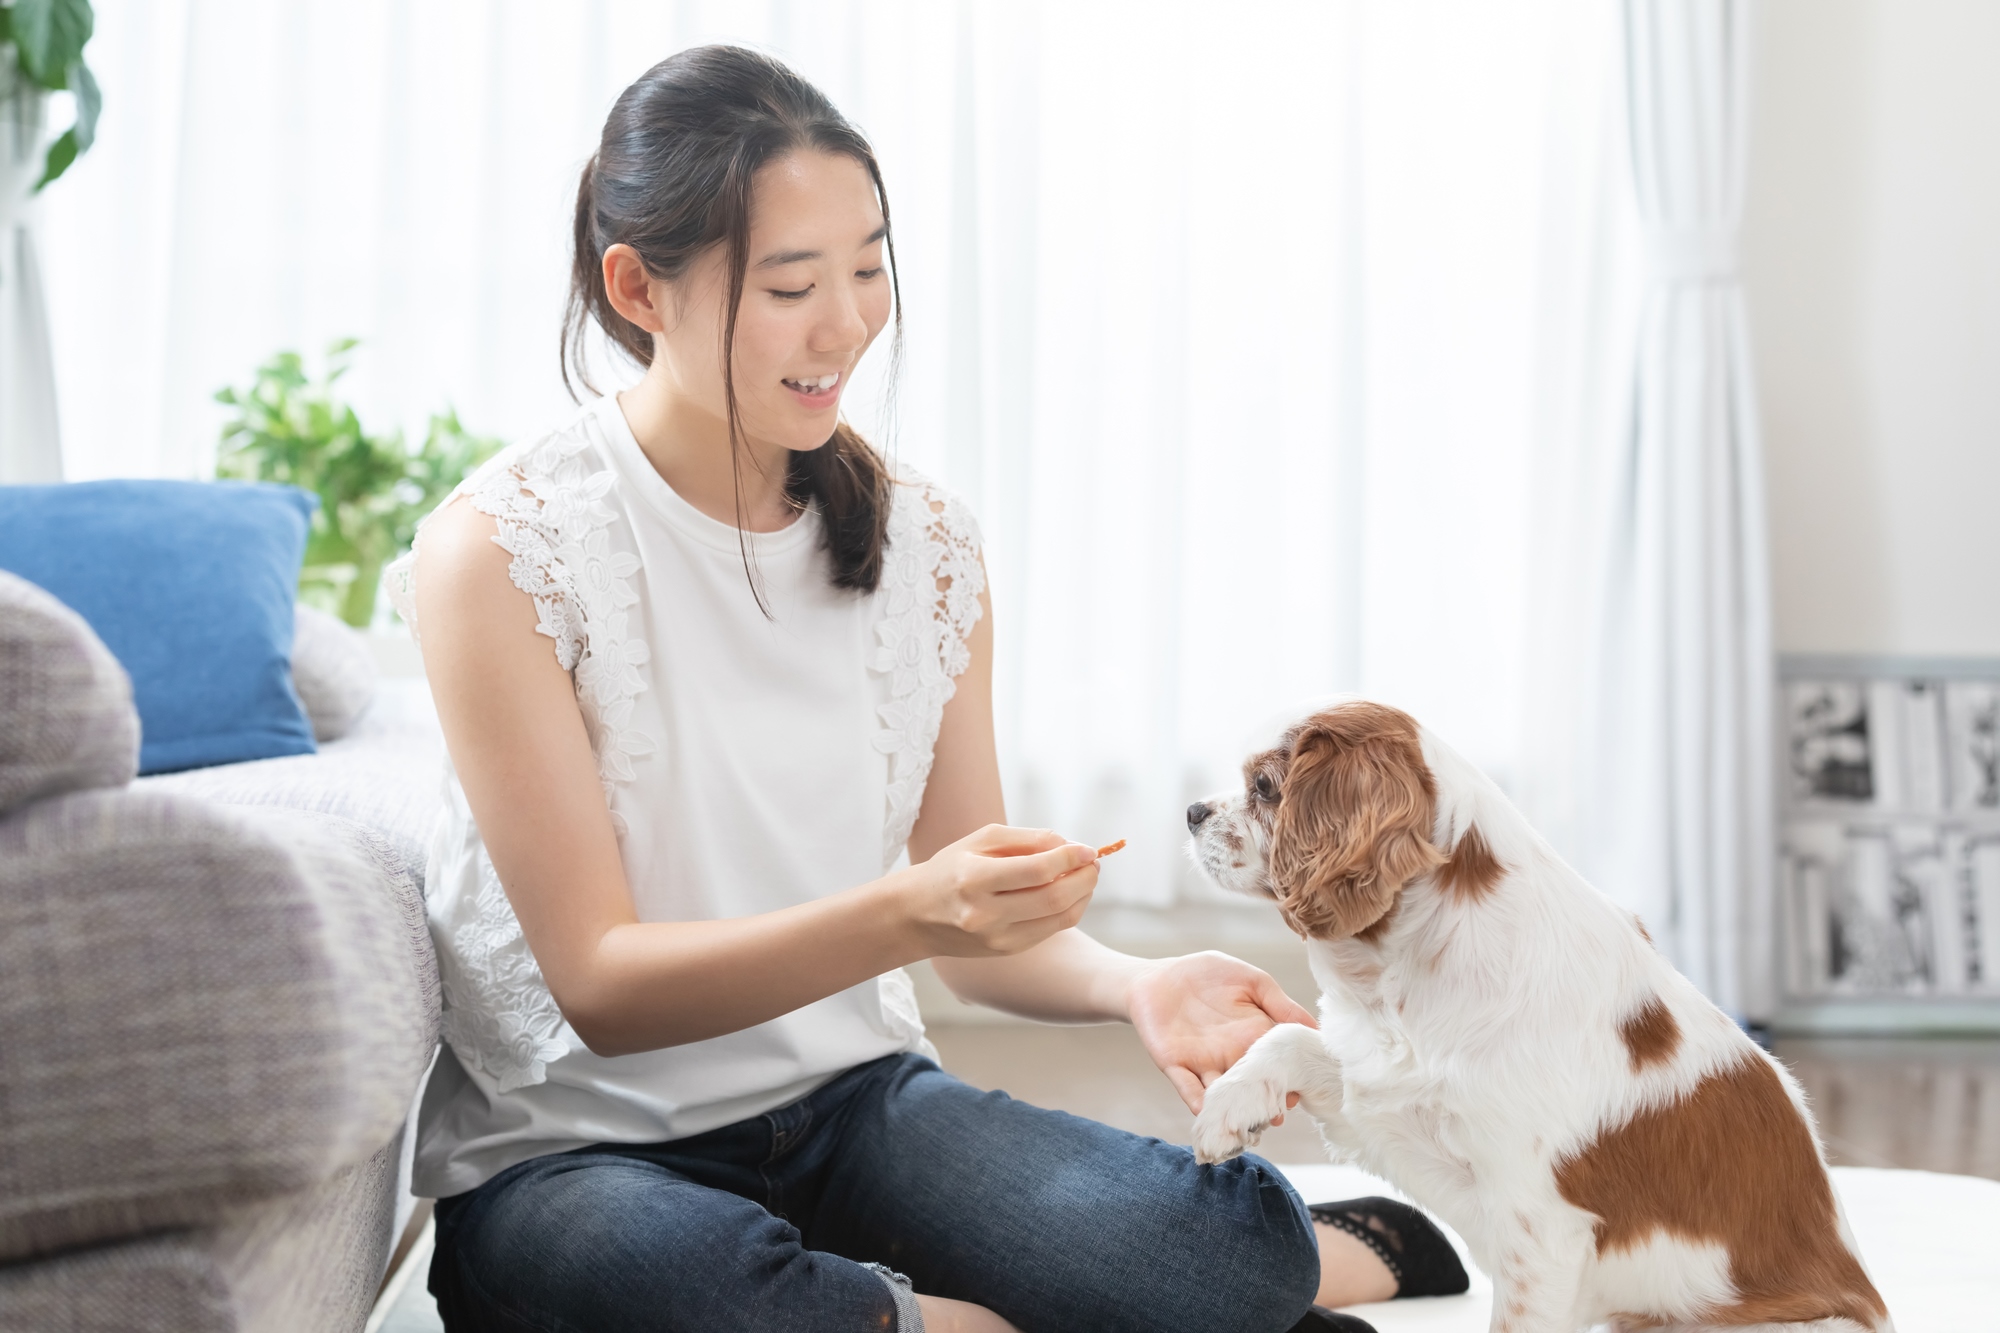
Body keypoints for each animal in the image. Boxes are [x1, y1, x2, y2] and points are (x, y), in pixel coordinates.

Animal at [1184, 700, 1888, 1320]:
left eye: (1264, 786)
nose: (1191, 810)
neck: (1414, 966)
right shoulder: (1401, 1114)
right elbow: (1288, 1039)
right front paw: (1230, 1107)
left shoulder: (1538, 1231)